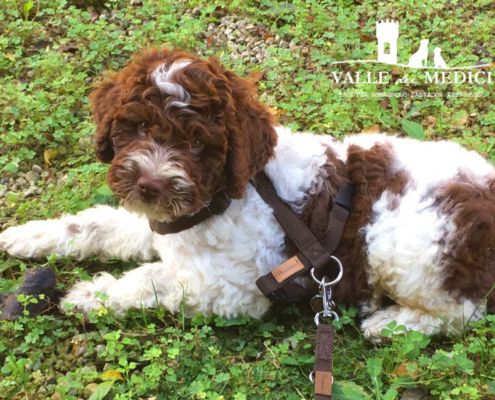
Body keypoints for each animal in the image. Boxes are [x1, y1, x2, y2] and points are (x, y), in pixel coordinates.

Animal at [0, 48, 495, 340]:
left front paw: (88, 296)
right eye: (139, 127)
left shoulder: (231, 289)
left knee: (461, 312)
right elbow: (96, 224)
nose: (150, 185)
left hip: (413, 257)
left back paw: (391, 324)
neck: (220, 199)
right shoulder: (164, 225)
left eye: (197, 145)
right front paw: (25, 236)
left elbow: (151, 281)